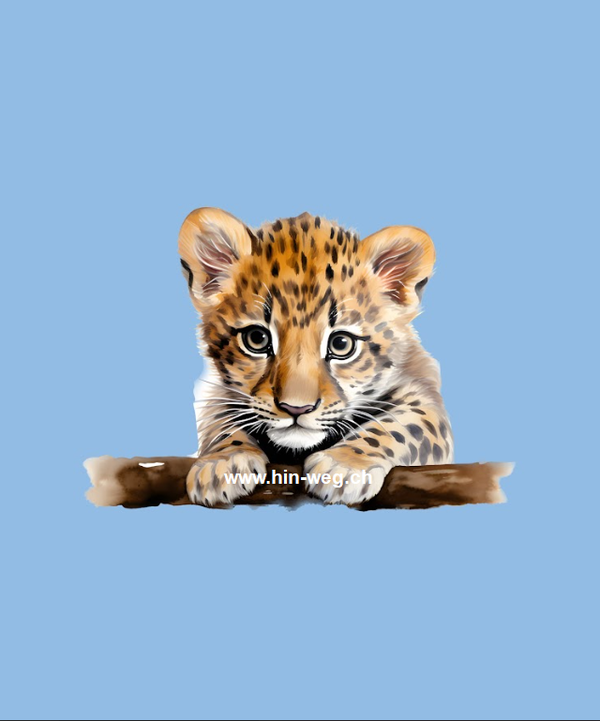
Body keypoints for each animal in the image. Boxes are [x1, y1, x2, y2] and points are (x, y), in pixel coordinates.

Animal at [179, 207, 453, 507]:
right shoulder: (221, 394)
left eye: (341, 344)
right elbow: (221, 422)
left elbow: (398, 426)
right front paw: (223, 462)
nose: (296, 409)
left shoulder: (424, 398)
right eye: (257, 339)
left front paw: (343, 466)